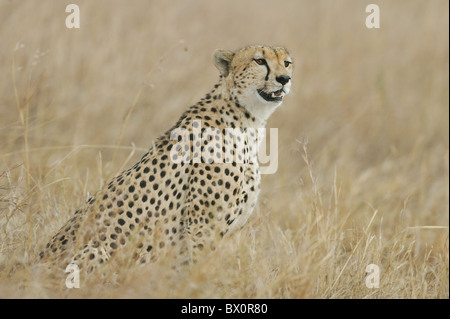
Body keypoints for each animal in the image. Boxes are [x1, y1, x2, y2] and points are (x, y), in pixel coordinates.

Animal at [37, 44, 292, 276]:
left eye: (287, 63)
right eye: (259, 61)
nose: (284, 78)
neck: (247, 119)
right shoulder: (202, 228)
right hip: (96, 251)